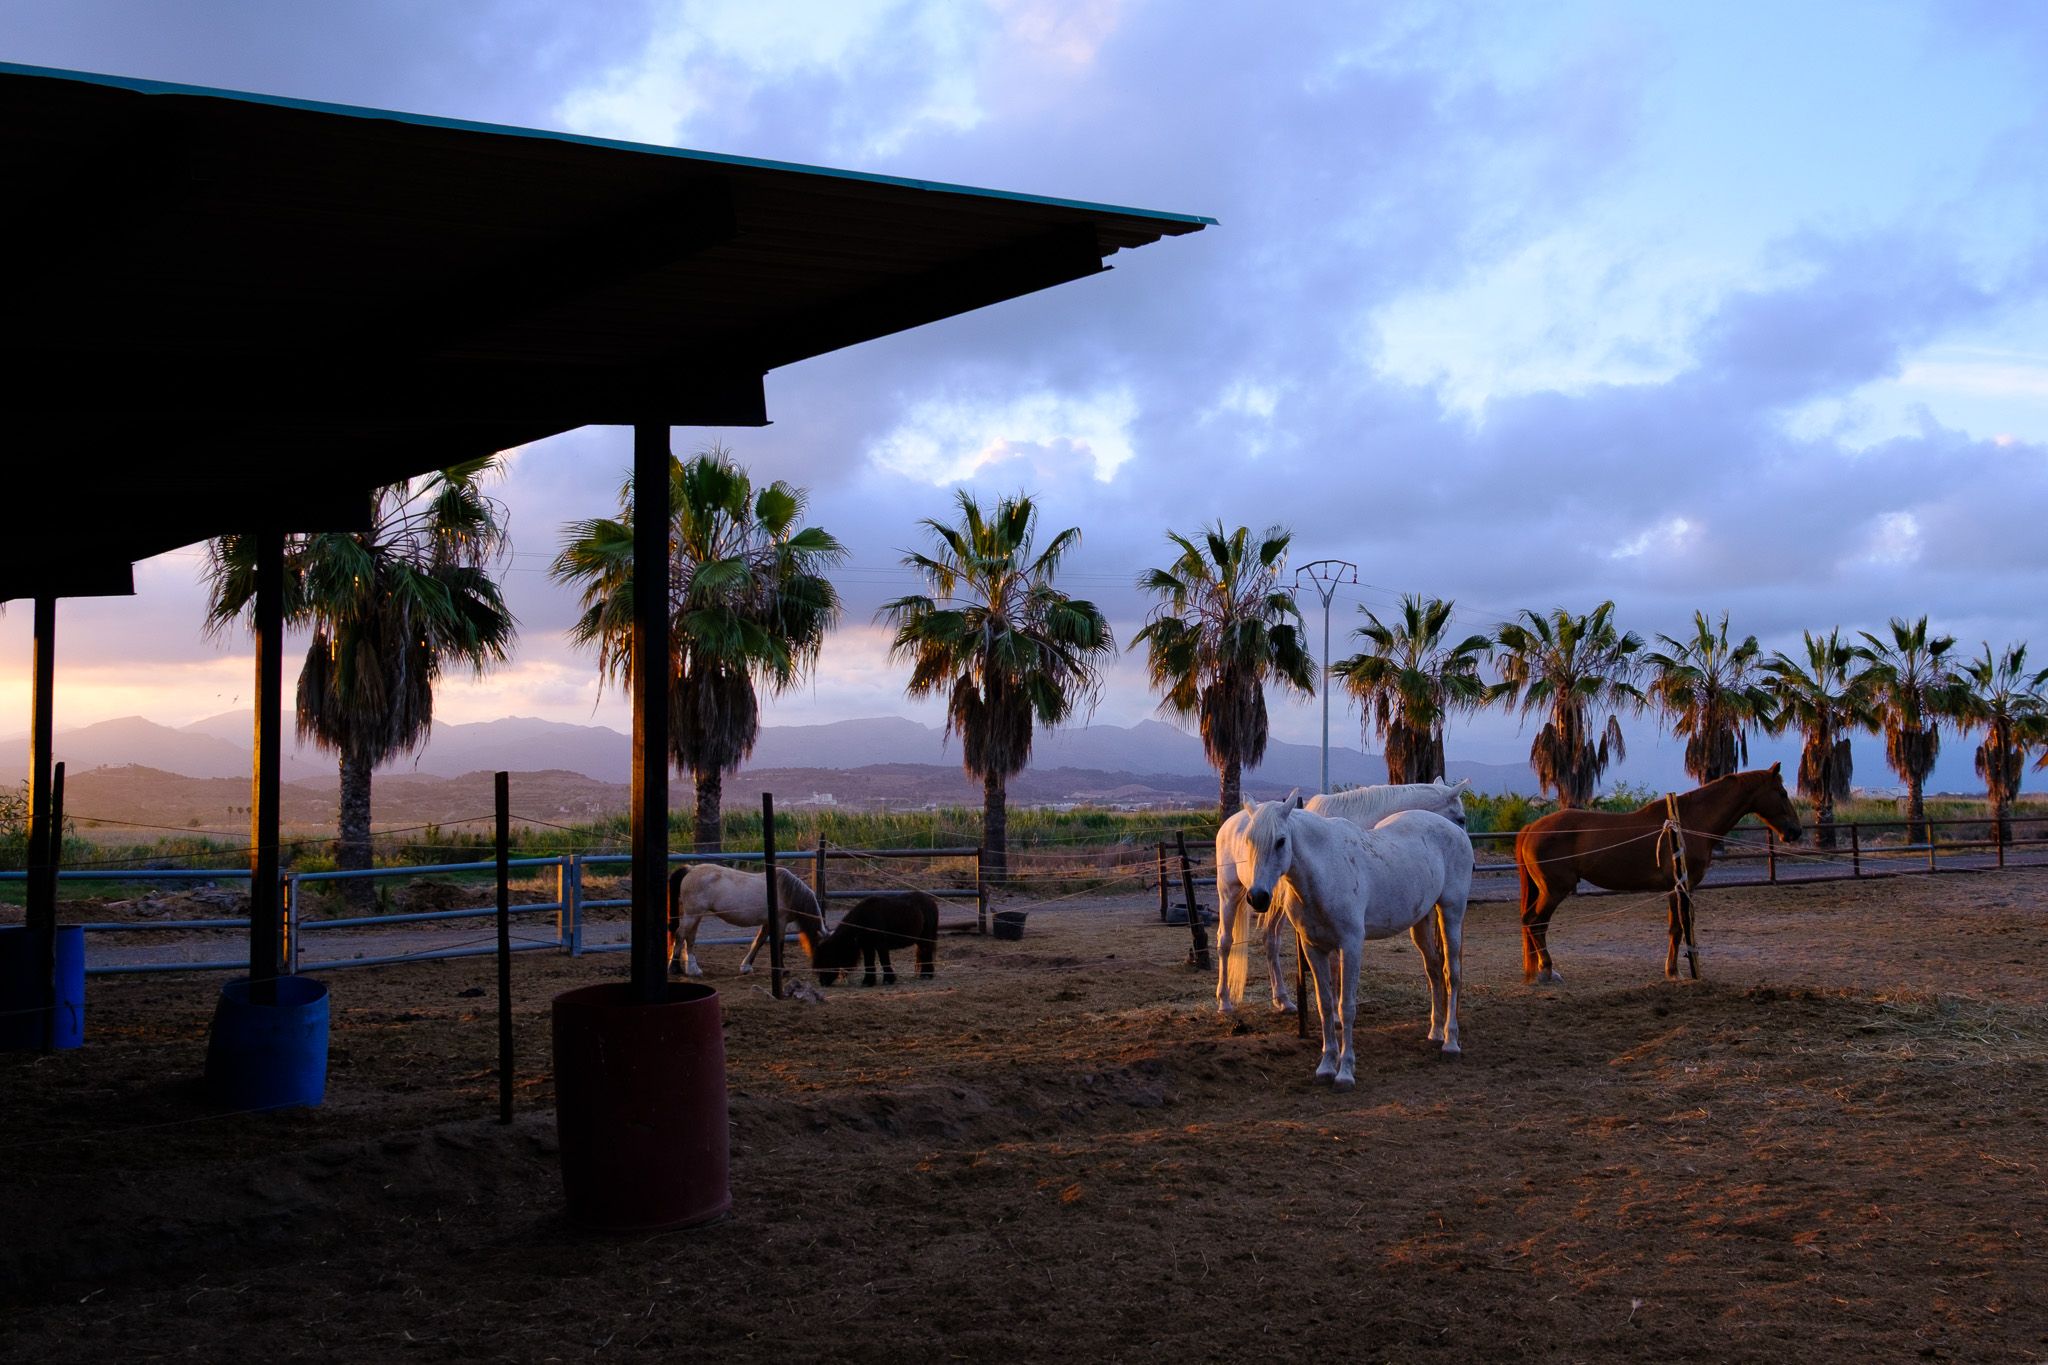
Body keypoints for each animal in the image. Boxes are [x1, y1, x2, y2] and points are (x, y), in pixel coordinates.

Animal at [667, 863, 828, 978]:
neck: (787, 892)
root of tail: (691, 869)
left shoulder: (768, 923)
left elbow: (759, 942)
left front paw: (746, 967)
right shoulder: (780, 922)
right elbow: (779, 944)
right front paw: (782, 971)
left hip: (696, 915)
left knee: (690, 938)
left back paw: (693, 970)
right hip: (692, 914)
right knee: (680, 935)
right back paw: (675, 968)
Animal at [1214, 779, 1469, 1014]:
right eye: (1461, 818)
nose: (1467, 847)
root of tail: (1229, 823)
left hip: (1272, 905)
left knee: (1270, 941)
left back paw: (1283, 1000)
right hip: (1231, 894)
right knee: (1225, 941)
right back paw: (1225, 1002)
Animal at [1233, 797, 1474, 1089]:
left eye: (1280, 841)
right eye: (1248, 840)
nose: (1257, 897)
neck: (1324, 871)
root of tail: (1456, 831)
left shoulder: (1350, 946)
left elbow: (1345, 1007)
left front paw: (1345, 1072)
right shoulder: (1314, 949)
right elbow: (1325, 1006)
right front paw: (1326, 1066)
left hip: (1451, 912)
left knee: (1452, 974)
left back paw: (1451, 1042)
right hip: (1422, 922)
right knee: (1435, 970)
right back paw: (1435, 1032)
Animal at [1514, 764, 1804, 984]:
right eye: (1781, 792)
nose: (1795, 831)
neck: (1688, 823)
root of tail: (1531, 827)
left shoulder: (1675, 888)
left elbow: (1676, 927)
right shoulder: (1680, 887)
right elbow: (1678, 928)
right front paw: (1674, 972)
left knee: (1531, 922)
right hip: (1555, 890)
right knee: (1535, 922)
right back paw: (1548, 970)